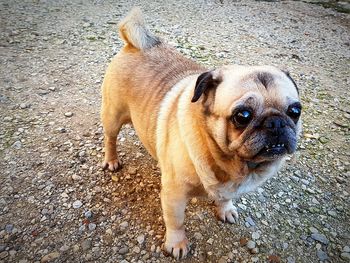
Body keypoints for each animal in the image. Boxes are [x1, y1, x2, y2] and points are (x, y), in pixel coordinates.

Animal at [100, 7, 300, 260]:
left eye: (295, 111)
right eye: (242, 116)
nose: (276, 122)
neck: (229, 164)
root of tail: (137, 44)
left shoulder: (229, 187)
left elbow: (225, 198)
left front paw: (225, 209)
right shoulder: (174, 195)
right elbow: (176, 222)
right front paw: (177, 244)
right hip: (113, 115)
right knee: (110, 138)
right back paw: (112, 160)